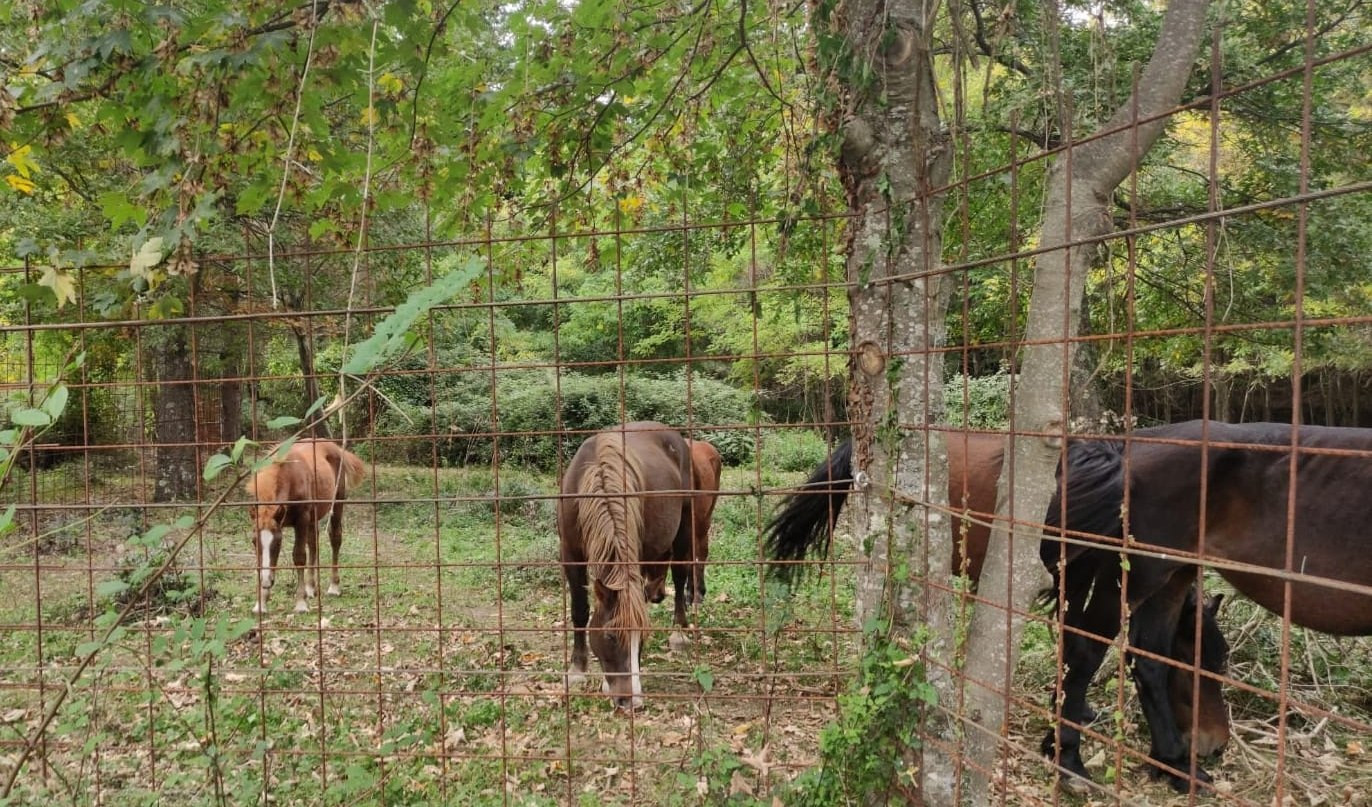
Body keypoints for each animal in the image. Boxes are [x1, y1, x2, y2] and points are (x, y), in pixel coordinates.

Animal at [246, 439, 364, 614]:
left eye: (278, 542)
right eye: (254, 541)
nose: (266, 582)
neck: (289, 477)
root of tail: (335, 447)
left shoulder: (301, 520)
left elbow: (299, 556)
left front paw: (301, 604)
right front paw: (261, 603)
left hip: (337, 503)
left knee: (335, 538)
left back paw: (333, 587)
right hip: (314, 516)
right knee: (313, 543)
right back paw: (310, 588)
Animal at [557, 419, 691, 708]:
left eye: (642, 638)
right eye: (609, 636)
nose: (631, 701)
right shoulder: (570, 553)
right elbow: (580, 610)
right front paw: (577, 669)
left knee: (680, 575)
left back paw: (679, 632)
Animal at [1037, 419, 1372, 790]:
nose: (1215, 746)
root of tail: (1131, 447)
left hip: (1173, 574)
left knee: (1147, 658)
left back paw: (1176, 765)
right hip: (1137, 573)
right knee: (1086, 652)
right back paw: (1069, 759)